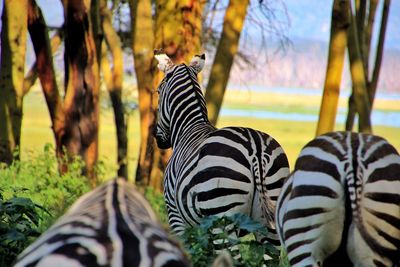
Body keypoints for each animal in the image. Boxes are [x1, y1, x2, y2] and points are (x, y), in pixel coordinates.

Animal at [154, 50, 290, 247]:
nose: (158, 140)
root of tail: (255, 147)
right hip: (270, 219)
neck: (189, 126)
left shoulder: (176, 217)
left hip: (221, 217)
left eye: (158, 91)